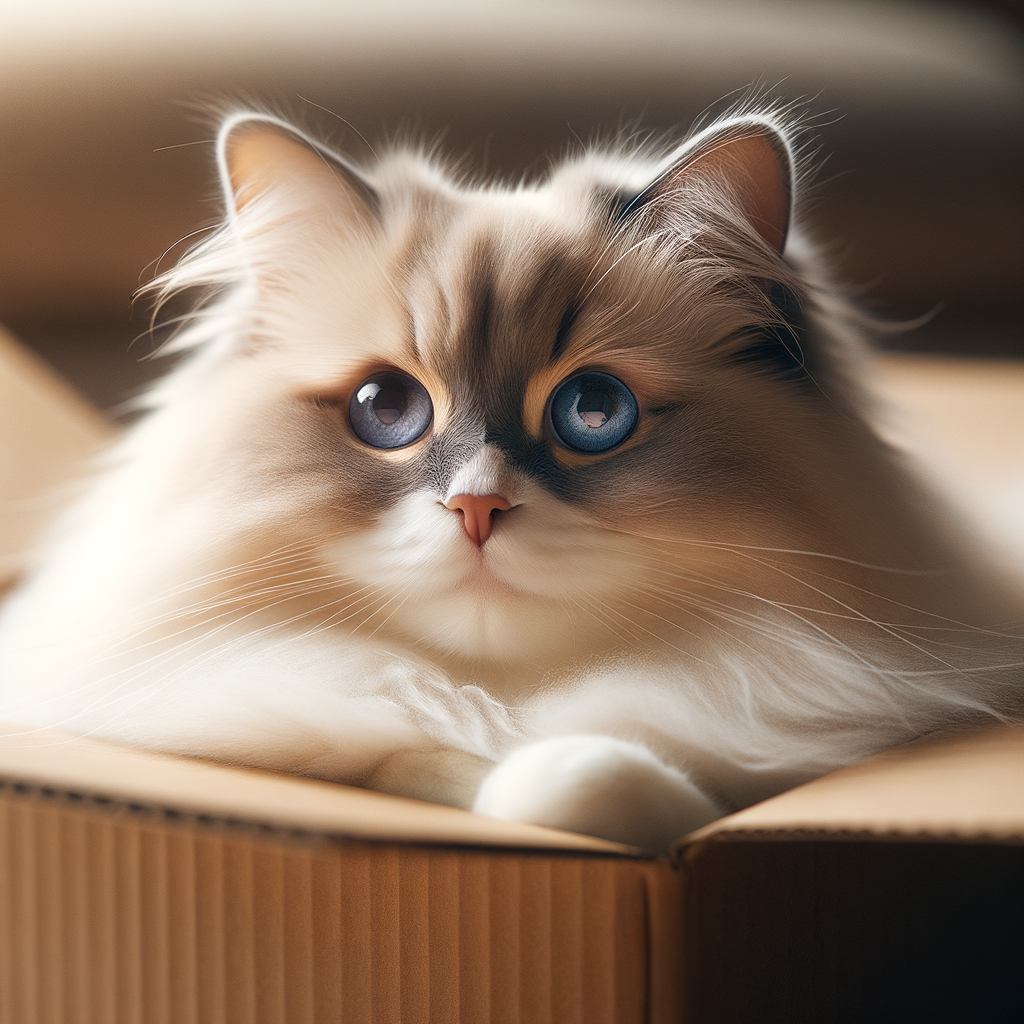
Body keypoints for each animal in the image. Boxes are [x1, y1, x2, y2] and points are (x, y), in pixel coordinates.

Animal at [2, 103, 1024, 856]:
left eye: (594, 411)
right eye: (385, 407)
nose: (477, 506)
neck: (506, 709)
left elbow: (609, 771)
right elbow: (431, 760)